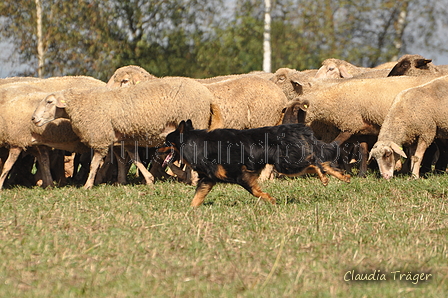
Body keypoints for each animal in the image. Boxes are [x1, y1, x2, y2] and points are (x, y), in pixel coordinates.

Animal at [31, 77, 219, 189]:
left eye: (49, 101)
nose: (33, 119)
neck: (82, 104)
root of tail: (209, 97)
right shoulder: (123, 140)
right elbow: (132, 159)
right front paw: (147, 180)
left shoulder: (101, 139)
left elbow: (94, 164)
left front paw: (88, 185)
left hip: (195, 120)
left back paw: (192, 179)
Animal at [159, 119, 352, 207]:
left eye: (166, 142)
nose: (156, 151)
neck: (197, 144)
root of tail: (298, 128)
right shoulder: (209, 178)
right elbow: (197, 197)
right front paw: (189, 211)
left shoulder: (240, 174)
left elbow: (255, 191)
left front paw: (270, 199)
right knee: (321, 162)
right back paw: (342, 177)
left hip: (285, 164)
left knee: (313, 162)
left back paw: (324, 178)